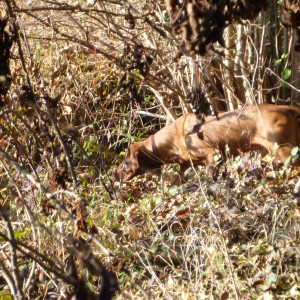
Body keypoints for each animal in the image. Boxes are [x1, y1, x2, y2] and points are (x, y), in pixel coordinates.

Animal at [116, 104, 300, 182]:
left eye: (125, 162)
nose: (114, 175)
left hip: (283, 151)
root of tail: (285, 108)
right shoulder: (186, 166)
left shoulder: (214, 156)